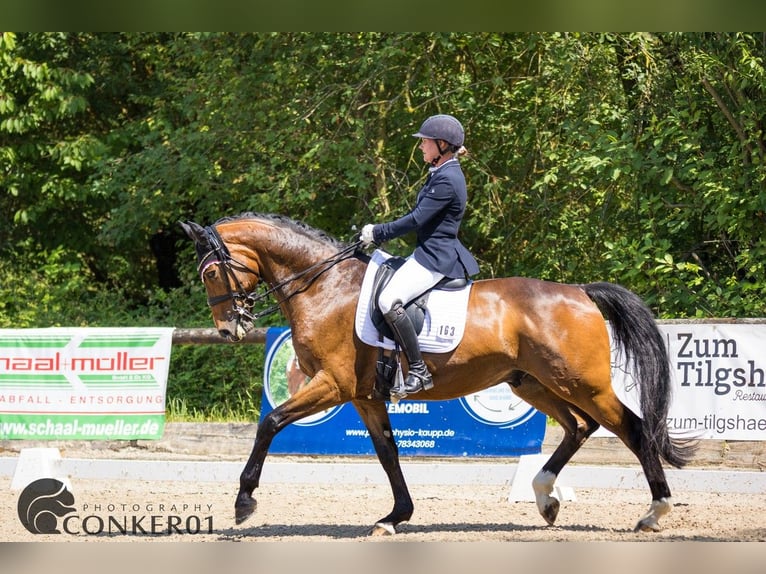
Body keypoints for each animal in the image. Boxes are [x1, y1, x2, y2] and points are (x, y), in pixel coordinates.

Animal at [183, 214, 700, 536]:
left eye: (210, 273)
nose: (230, 329)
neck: (325, 286)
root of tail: (581, 292)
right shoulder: (365, 396)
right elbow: (387, 453)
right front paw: (395, 516)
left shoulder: (334, 384)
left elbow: (269, 423)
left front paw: (243, 502)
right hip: (531, 381)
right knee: (580, 426)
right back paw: (545, 498)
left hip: (582, 382)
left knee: (632, 428)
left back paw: (654, 512)